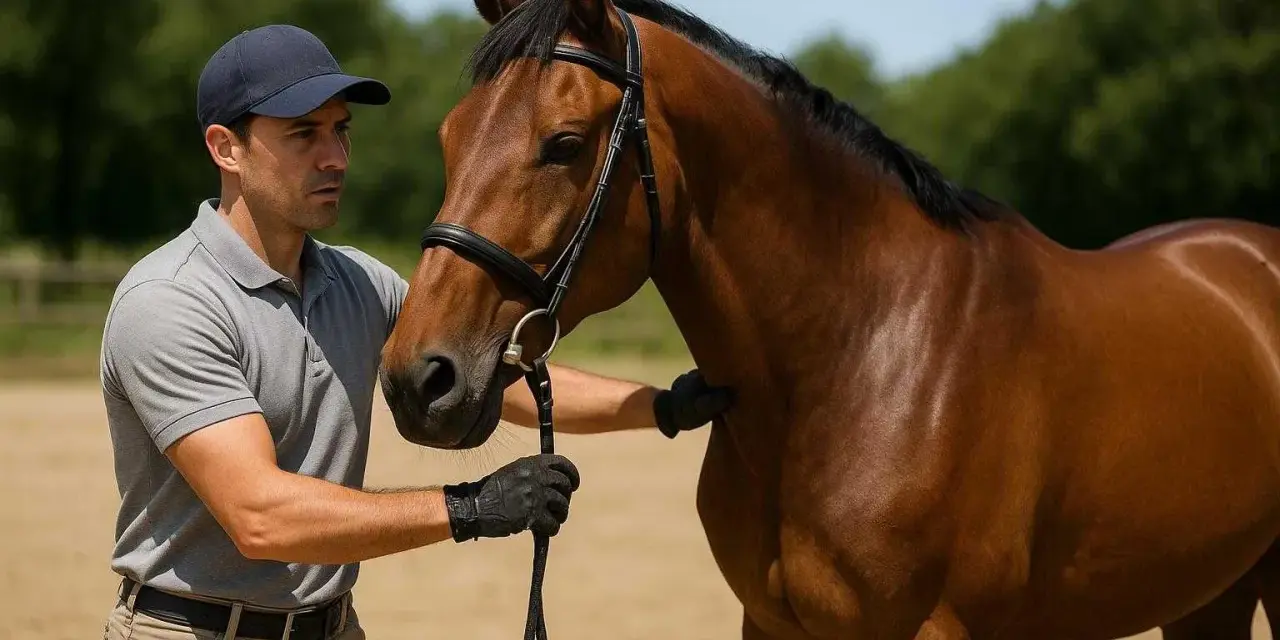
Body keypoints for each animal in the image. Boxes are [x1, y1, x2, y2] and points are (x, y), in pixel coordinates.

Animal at [376, 0, 1280, 637]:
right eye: (450, 137)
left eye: (563, 143)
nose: (420, 379)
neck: (860, 361)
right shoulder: (771, 624)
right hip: (1209, 591)